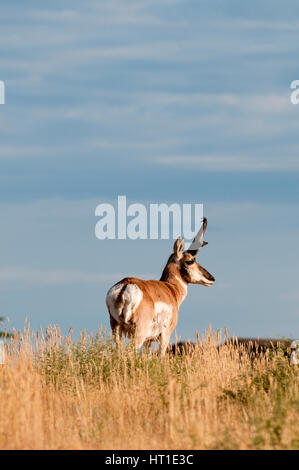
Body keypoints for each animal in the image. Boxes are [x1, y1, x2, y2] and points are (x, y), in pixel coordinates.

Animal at [106, 218, 214, 354]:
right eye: (190, 261)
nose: (211, 278)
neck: (171, 288)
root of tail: (126, 285)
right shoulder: (165, 335)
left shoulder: (148, 341)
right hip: (139, 334)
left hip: (116, 330)